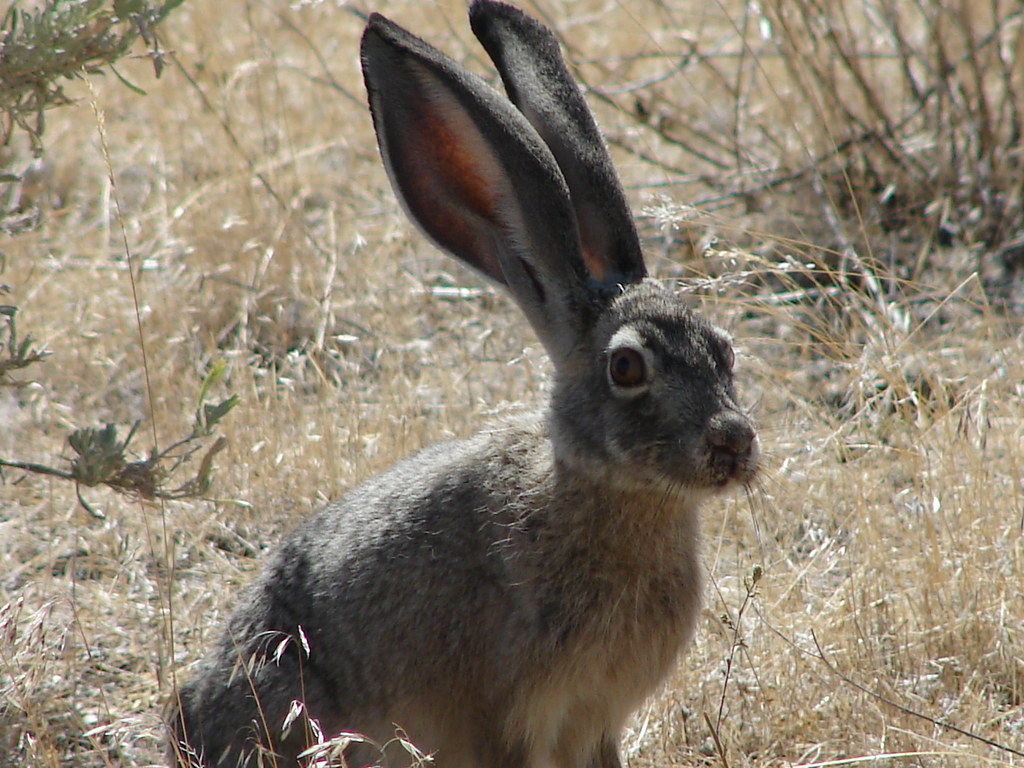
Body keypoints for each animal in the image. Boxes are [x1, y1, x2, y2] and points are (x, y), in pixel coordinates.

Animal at [167, 1, 760, 767]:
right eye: (627, 368)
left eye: (725, 350)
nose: (734, 443)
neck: (609, 496)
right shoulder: (506, 718)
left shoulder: (595, 721)